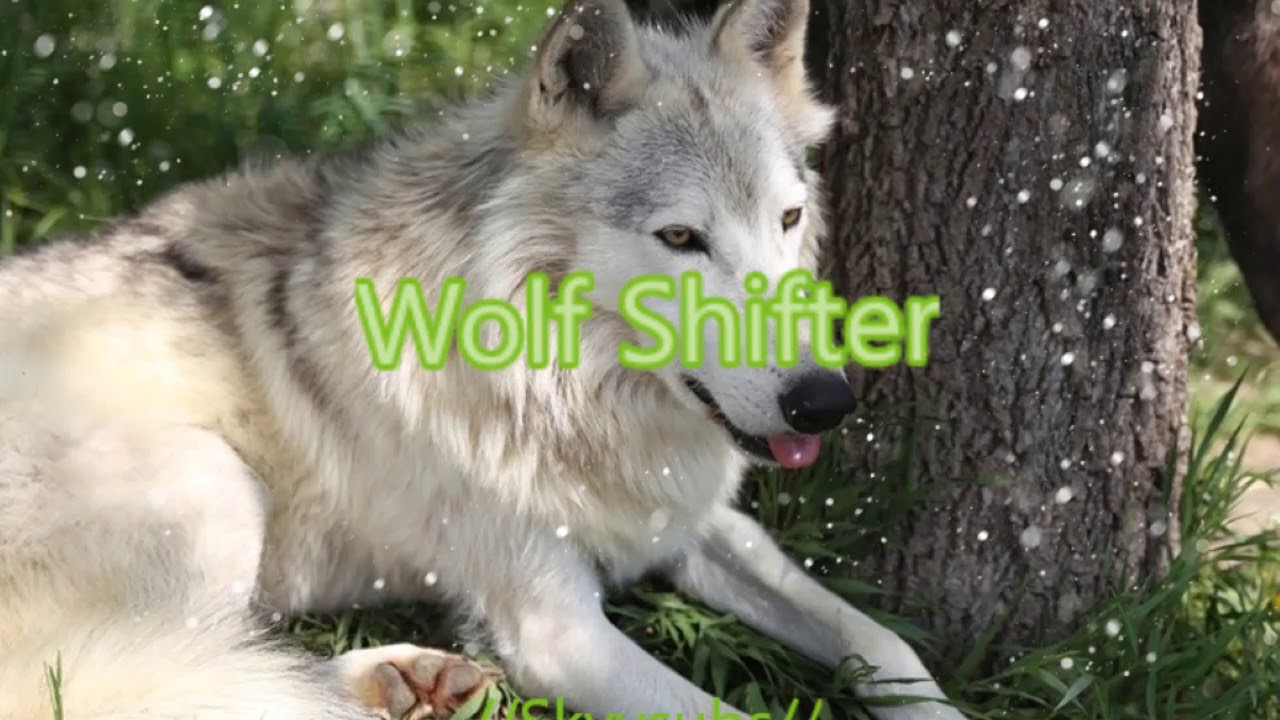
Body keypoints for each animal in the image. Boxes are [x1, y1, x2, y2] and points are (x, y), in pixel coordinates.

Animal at [0, 0, 965, 718]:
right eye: (681, 238)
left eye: (789, 219)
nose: (824, 401)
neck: (565, 388)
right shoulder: (557, 632)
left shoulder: (681, 526)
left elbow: (879, 640)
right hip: (212, 484)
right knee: (131, 678)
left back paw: (404, 682)